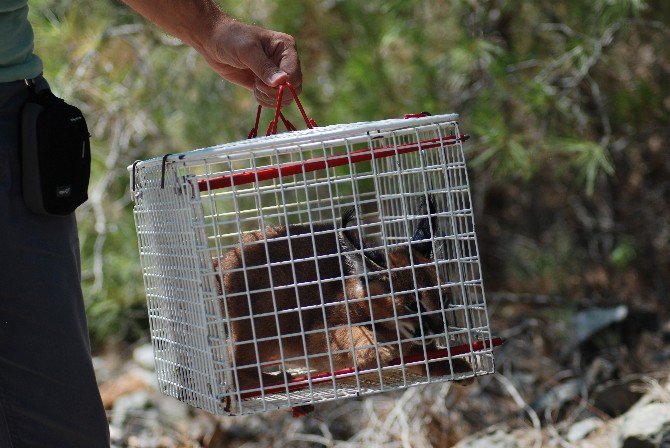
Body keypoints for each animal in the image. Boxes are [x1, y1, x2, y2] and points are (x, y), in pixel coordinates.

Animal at [214, 196, 472, 392]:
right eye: (413, 305)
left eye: (443, 298)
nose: (438, 329)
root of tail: (222, 259)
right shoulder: (315, 334)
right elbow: (349, 333)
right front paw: (375, 349)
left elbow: (420, 354)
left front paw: (452, 364)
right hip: (263, 327)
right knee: (234, 369)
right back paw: (277, 382)